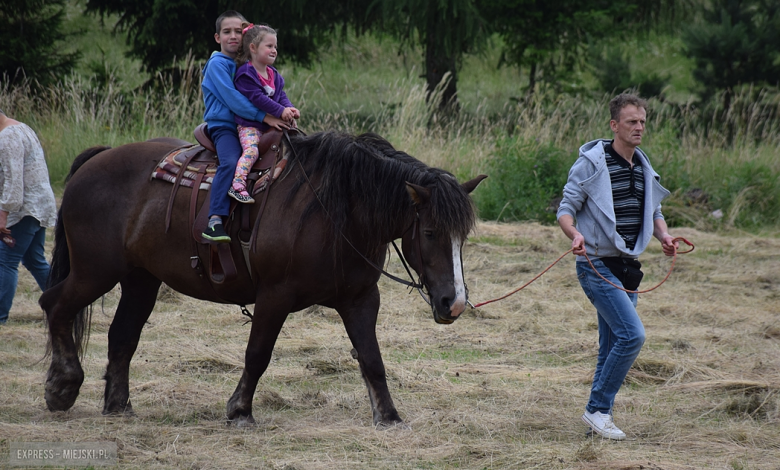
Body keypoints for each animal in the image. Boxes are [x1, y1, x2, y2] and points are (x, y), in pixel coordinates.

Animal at [41, 130, 488, 428]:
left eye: (462, 236)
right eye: (429, 232)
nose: (454, 303)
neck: (336, 211)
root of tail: (96, 160)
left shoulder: (360, 298)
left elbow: (372, 359)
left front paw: (389, 415)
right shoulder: (274, 296)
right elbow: (257, 354)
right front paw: (240, 410)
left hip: (140, 280)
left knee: (122, 336)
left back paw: (118, 404)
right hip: (95, 271)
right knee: (54, 305)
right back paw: (62, 386)